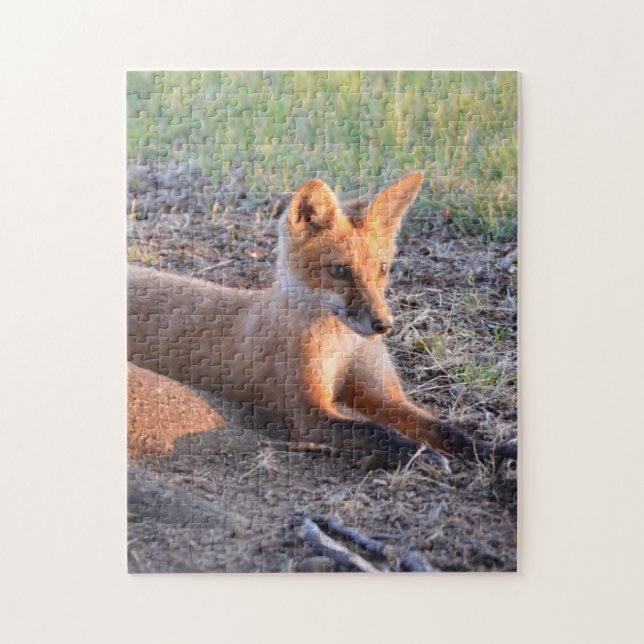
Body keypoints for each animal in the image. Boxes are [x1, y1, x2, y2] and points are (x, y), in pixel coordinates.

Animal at [128, 171, 516, 469]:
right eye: (340, 271)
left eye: (383, 269)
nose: (384, 325)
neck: (343, 348)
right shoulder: (309, 414)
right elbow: (375, 431)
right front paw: (421, 455)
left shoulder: (385, 398)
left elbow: (448, 431)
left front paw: (496, 452)